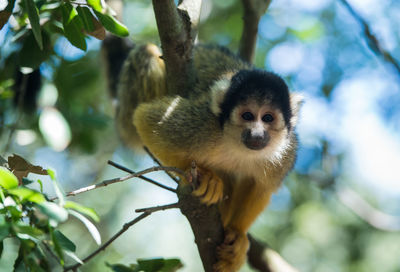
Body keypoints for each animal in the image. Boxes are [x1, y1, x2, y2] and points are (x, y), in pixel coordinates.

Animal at [115, 43, 304, 270]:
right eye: (247, 116)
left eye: (268, 118)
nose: (257, 134)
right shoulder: (203, 125)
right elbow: (146, 118)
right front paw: (203, 177)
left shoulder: (286, 152)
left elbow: (262, 186)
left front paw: (238, 235)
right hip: (126, 117)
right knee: (147, 51)